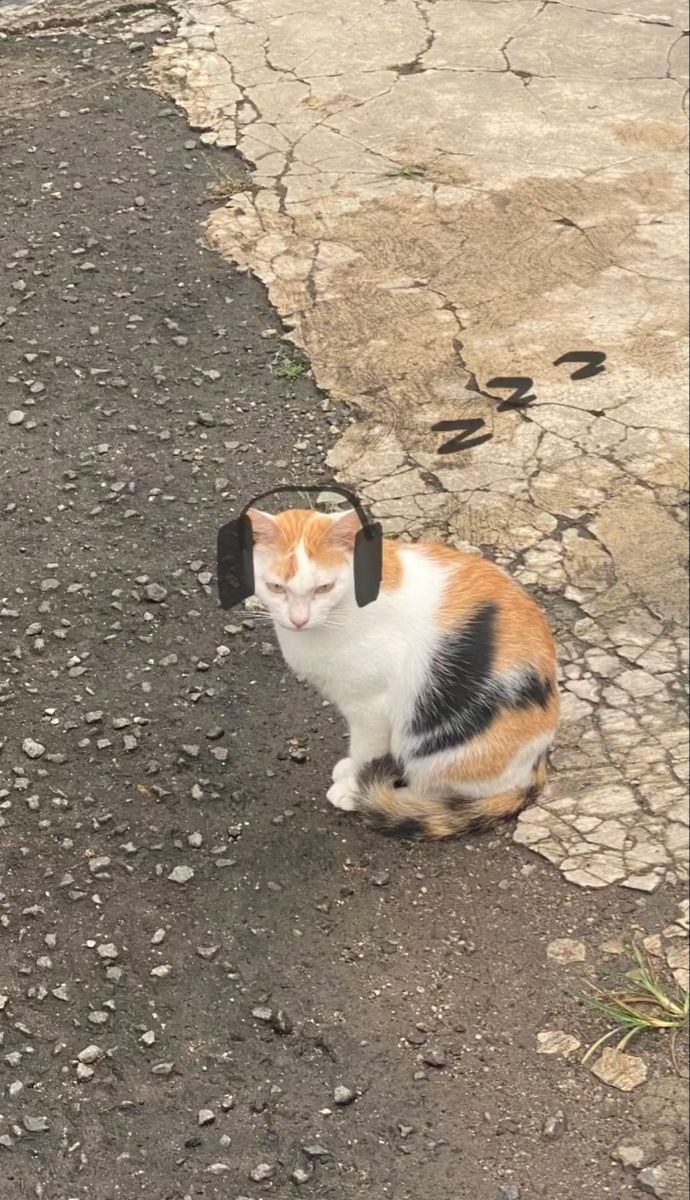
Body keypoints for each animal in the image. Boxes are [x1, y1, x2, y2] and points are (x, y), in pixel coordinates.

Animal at [249, 504, 561, 835]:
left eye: (324, 588)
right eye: (275, 587)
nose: (299, 620)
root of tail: (536, 765)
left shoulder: (371, 708)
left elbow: (365, 750)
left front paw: (353, 787)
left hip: (435, 746)